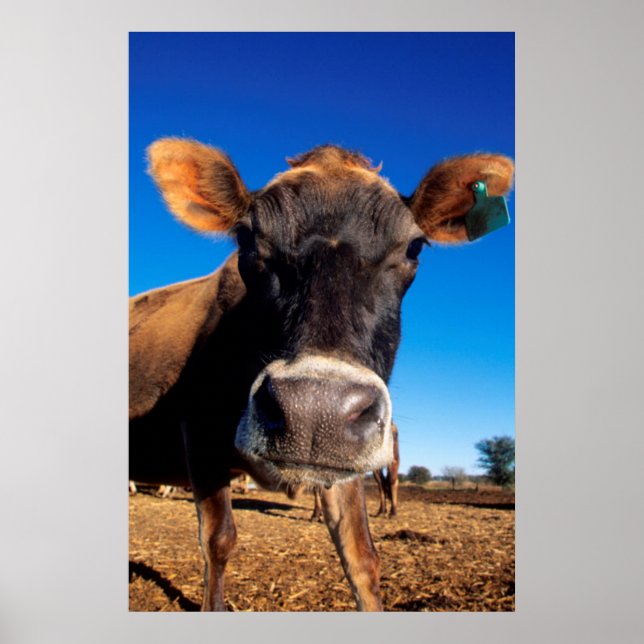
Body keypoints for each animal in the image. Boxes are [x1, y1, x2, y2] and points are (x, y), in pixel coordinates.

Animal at [129, 138, 514, 611]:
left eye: (414, 247)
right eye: (245, 237)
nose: (315, 410)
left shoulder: (345, 459)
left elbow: (361, 556)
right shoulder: (198, 429)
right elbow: (218, 540)